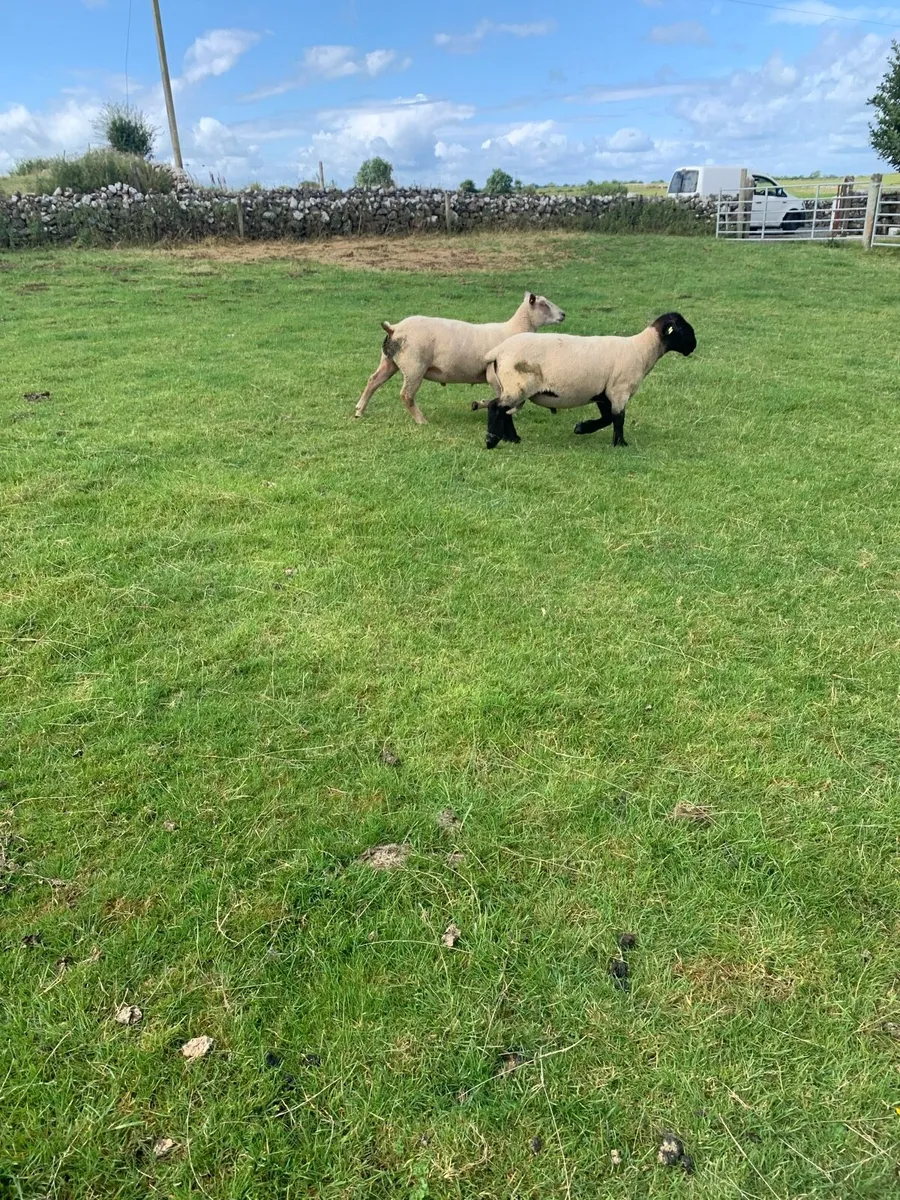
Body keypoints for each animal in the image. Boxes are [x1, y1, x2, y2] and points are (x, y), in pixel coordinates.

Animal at [354, 291, 566, 425]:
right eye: (544, 304)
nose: (563, 314)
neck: (514, 329)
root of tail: (395, 328)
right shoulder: (494, 375)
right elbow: (503, 399)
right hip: (415, 366)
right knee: (406, 395)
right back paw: (422, 421)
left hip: (389, 361)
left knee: (373, 381)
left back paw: (359, 410)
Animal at [480, 312, 696, 450]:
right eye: (682, 329)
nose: (694, 345)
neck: (643, 350)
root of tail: (497, 351)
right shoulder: (619, 391)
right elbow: (618, 418)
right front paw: (620, 444)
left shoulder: (604, 394)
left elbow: (607, 418)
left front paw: (582, 428)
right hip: (517, 384)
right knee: (495, 406)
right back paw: (492, 439)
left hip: (511, 386)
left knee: (505, 411)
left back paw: (512, 438)